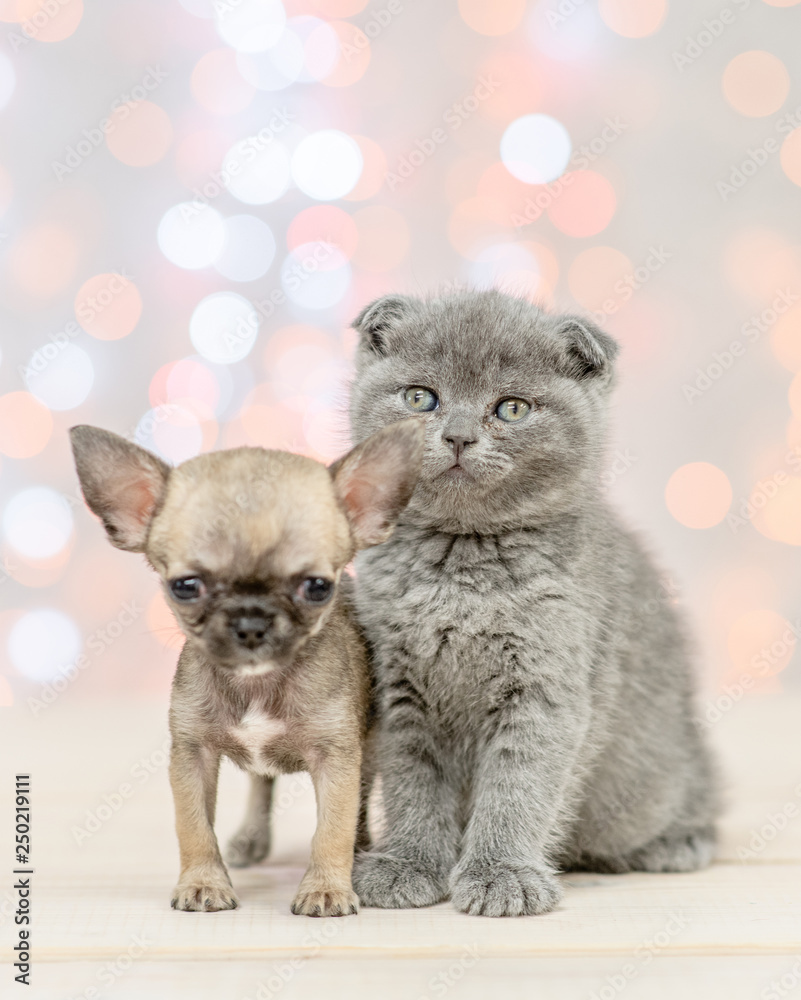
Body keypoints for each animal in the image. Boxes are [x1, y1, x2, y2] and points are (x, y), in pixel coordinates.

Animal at [70, 418, 424, 916]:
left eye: (317, 587)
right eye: (185, 586)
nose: (251, 620)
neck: (258, 682)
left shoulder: (338, 759)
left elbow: (332, 828)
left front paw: (327, 887)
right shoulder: (192, 756)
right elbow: (194, 826)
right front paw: (203, 881)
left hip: (369, 748)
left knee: (354, 806)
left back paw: (361, 849)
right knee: (262, 783)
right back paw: (253, 838)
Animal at [348, 288, 720, 916]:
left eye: (512, 409)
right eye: (421, 397)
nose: (457, 436)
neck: (463, 563)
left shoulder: (548, 684)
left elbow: (518, 785)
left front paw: (502, 874)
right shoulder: (399, 689)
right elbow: (412, 781)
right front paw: (407, 863)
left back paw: (677, 841)